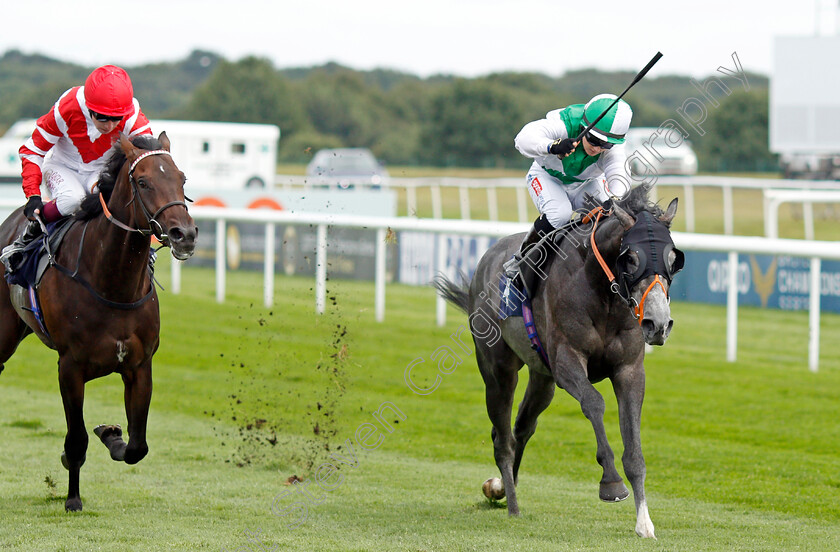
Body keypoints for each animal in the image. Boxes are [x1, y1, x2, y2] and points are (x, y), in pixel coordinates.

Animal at [0, 132, 195, 512]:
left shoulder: (139, 365)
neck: (112, 283)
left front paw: (110, 433)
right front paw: (73, 498)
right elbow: (76, 439)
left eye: (181, 179)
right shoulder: (70, 367)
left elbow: (137, 446)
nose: (185, 234)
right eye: (143, 182)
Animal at [434, 187, 684, 540]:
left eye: (674, 260)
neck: (604, 296)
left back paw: (501, 487)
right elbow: (594, 402)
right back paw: (511, 504)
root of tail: (487, 257)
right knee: (502, 437)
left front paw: (644, 522)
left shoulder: (629, 370)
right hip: (498, 369)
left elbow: (634, 448)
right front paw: (611, 483)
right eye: (631, 258)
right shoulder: (567, 362)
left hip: (542, 379)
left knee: (522, 428)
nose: (657, 323)